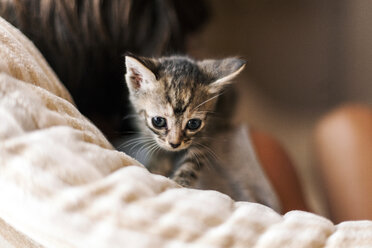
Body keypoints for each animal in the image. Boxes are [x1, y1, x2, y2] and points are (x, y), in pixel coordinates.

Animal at [123, 53, 246, 186]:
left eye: (193, 123)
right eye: (158, 121)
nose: (174, 144)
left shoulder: (206, 134)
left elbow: (192, 164)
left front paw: (180, 184)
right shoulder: (146, 132)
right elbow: (157, 152)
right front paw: (155, 170)